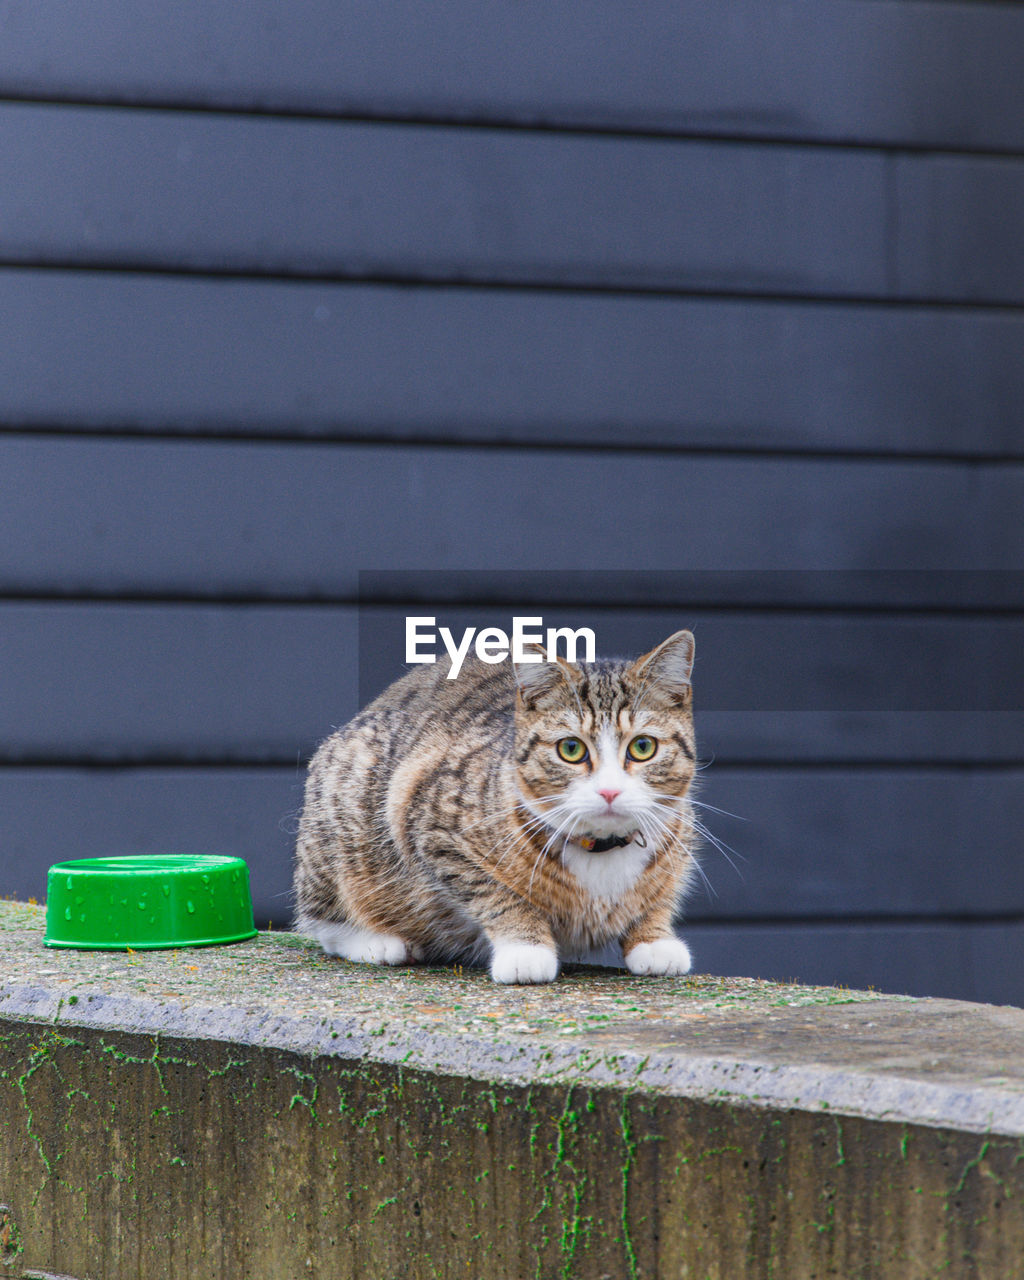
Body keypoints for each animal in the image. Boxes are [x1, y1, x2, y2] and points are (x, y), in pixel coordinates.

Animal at [291, 634, 701, 983]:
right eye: (570, 749)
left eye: (643, 747)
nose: (610, 791)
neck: (601, 849)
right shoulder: (428, 817)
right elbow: (493, 892)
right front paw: (525, 948)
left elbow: (660, 896)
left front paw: (653, 938)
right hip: (346, 798)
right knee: (323, 921)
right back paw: (376, 941)